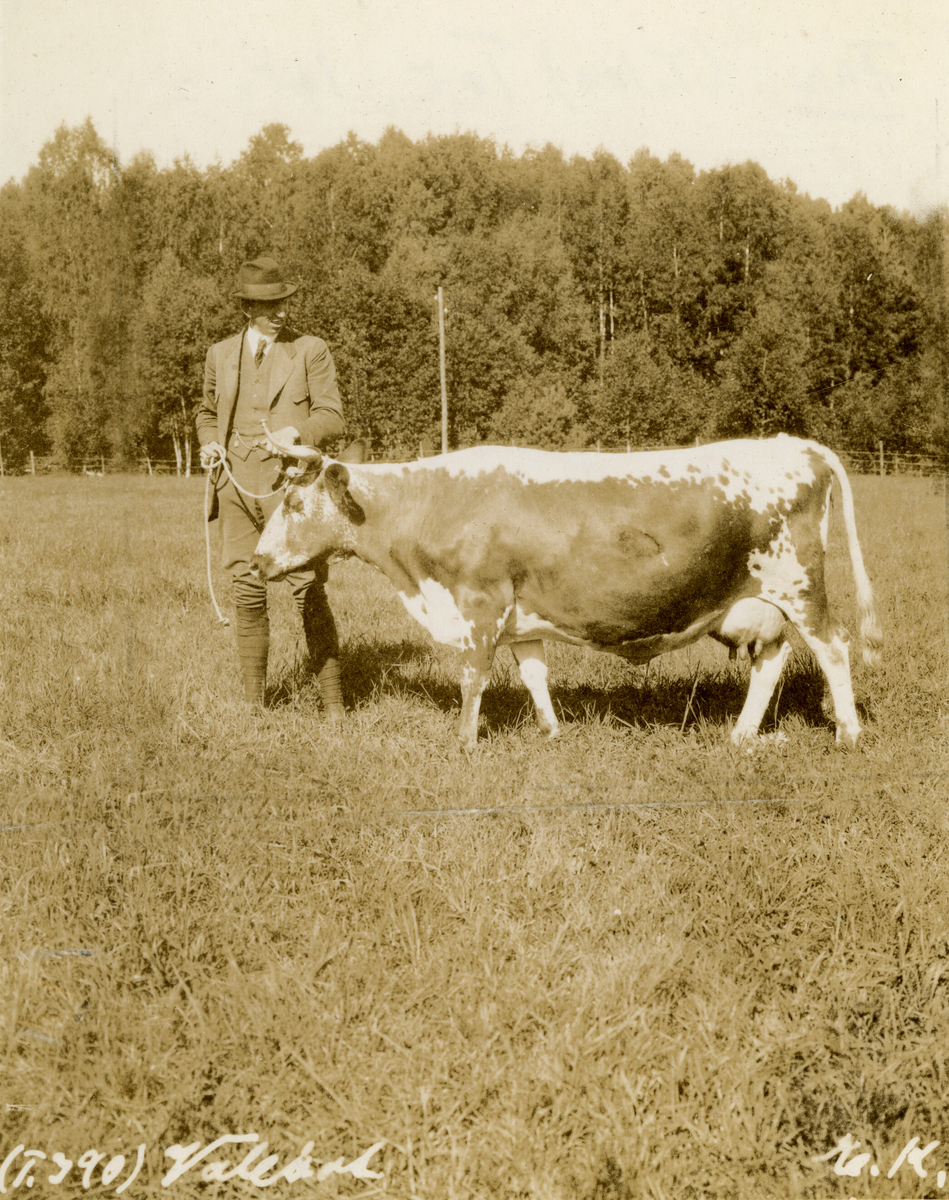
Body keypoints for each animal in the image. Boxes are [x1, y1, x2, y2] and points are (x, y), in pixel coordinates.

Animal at [251, 432, 883, 748]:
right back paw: (743, 734)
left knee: (834, 648)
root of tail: (796, 443)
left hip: (801, 587)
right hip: (758, 602)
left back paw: (847, 734)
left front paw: (465, 742)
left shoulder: (479, 605)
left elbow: (473, 677)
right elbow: (533, 672)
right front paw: (551, 732)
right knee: (771, 661)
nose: (257, 560)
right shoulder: (520, 616)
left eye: (296, 502)